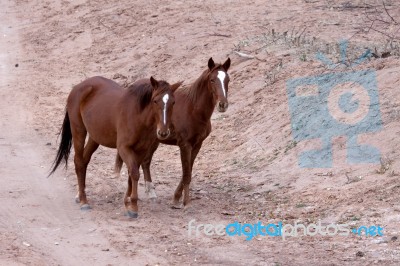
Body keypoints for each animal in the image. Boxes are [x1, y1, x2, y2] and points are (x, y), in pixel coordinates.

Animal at [49, 76, 182, 217]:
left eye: (173, 102)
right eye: (155, 101)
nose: (163, 132)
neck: (138, 115)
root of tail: (78, 87)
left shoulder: (141, 150)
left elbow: (131, 174)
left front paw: (127, 201)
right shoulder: (124, 148)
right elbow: (134, 173)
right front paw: (133, 206)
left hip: (95, 137)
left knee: (84, 161)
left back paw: (79, 195)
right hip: (78, 130)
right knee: (79, 162)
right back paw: (84, 201)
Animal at [114, 57, 230, 208]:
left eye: (227, 79)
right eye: (212, 80)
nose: (223, 105)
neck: (193, 109)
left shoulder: (197, 144)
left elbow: (189, 169)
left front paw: (177, 197)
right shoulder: (185, 145)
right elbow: (186, 173)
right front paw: (183, 201)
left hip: (153, 141)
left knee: (145, 162)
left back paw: (150, 192)